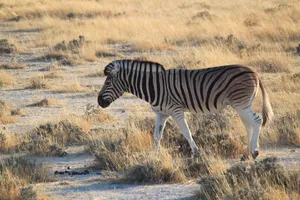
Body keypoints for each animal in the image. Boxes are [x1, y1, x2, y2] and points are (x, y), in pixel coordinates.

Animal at [97, 59, 274, 161]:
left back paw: (254, 152)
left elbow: (186, 132)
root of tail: (255, 72)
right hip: (241, 104)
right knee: (249, 125)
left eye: (107, 83)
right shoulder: (161, 113)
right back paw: (246, 154)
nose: (99, 102)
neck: (154, 86)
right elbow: (156, 136)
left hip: (241, 103)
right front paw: (154, 157)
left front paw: (196, 153)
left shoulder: (176, 110)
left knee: (257, 121)